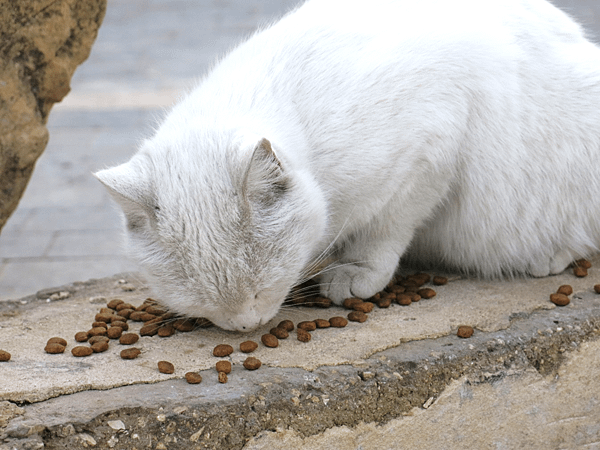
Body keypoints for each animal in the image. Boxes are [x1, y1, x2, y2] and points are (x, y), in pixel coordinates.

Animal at [96, 0, 600, 330]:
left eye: (261, 286)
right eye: (199, 299)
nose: (245, 325)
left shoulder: (430, 149)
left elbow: (384, 231)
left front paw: (356, 271)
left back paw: (549, 254)